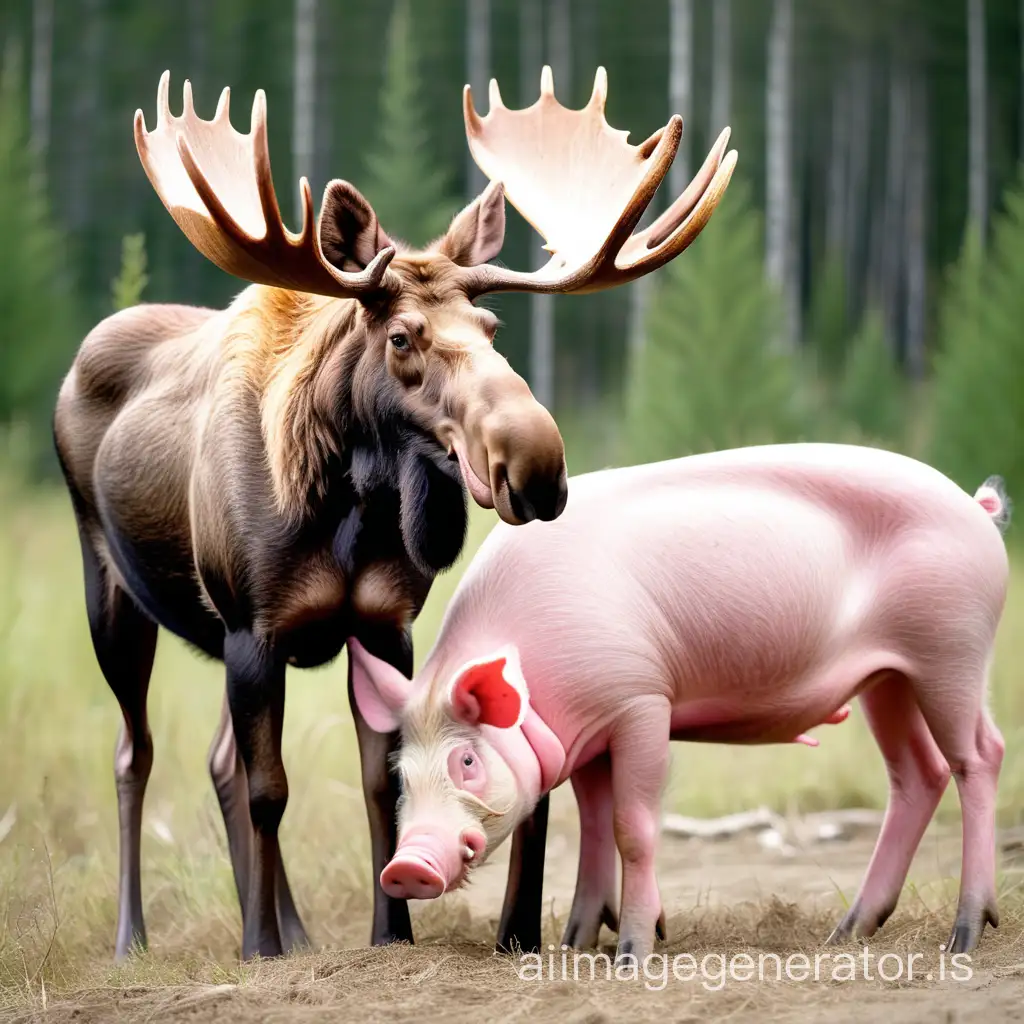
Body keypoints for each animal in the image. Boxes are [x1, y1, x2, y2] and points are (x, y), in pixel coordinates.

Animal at [54, 66, 737, 958]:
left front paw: (390, 931)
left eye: (491, 324)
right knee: (135, 752)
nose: (536, 463)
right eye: (403, 336)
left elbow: (380, 780)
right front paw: (256, 948)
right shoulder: (253, 626)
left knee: (217, 759)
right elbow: (272, 787)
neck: (349, 508)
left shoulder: (382, 623)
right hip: (114, 593)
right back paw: (137, 936)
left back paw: (296, 929)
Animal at [348, 444, 1011, 962]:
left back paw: (963, 938)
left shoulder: (641, 699)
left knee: (980, 755)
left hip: (952, 646)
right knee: (917, 774)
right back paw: (845, 934)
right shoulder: (588, 735)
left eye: (466, 761)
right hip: (887, 678)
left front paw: (632, 956)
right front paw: (572, 944)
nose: (407, 866)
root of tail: (975, 507)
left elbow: (633, 826)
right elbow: (593, 823)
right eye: (401, 772)